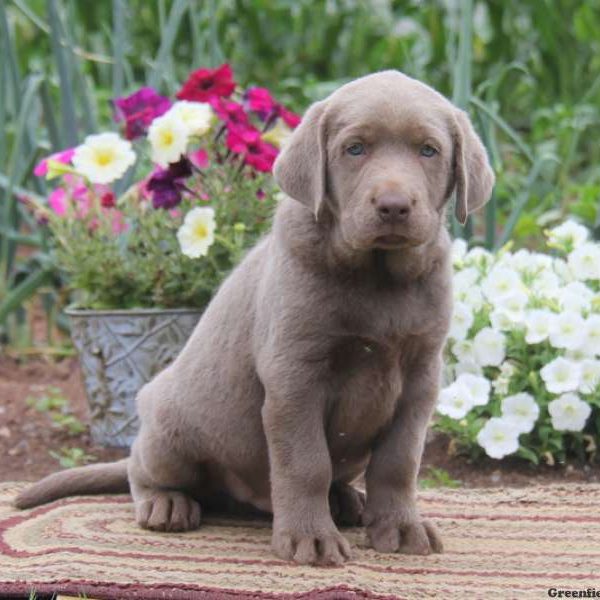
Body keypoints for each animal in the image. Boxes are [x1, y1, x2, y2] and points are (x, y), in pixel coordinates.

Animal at [16, 70, 494, 568]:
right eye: (355, 149)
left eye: (429, 150)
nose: (394, 206)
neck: (378, 276)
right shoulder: (294, 375)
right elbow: (306, 462)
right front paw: (310, 539)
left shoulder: (421, 376)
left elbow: (399, 463)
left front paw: (399, 527)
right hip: (168, 428)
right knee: (139, 468)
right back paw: (166, 503)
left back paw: (346, 501)